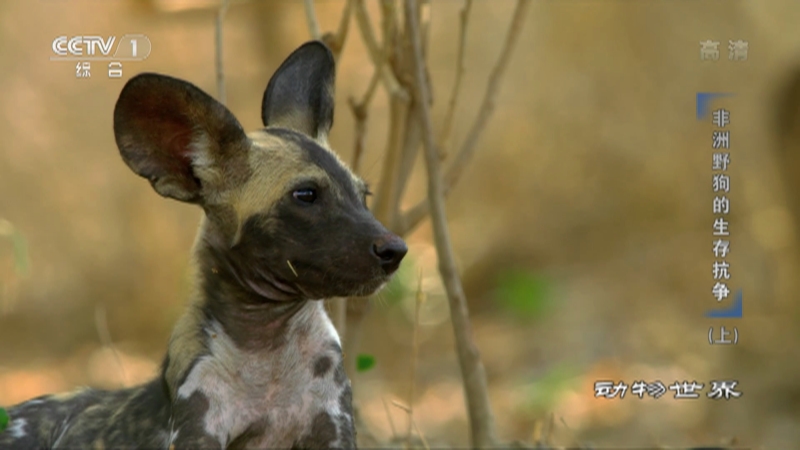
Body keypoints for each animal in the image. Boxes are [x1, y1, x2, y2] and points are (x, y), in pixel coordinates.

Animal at [1, 40, 406, 448]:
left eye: (363, 195)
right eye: (305, 195)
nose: (395, 250)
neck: (268, 348)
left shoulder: (334, 429)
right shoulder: (197, 430)